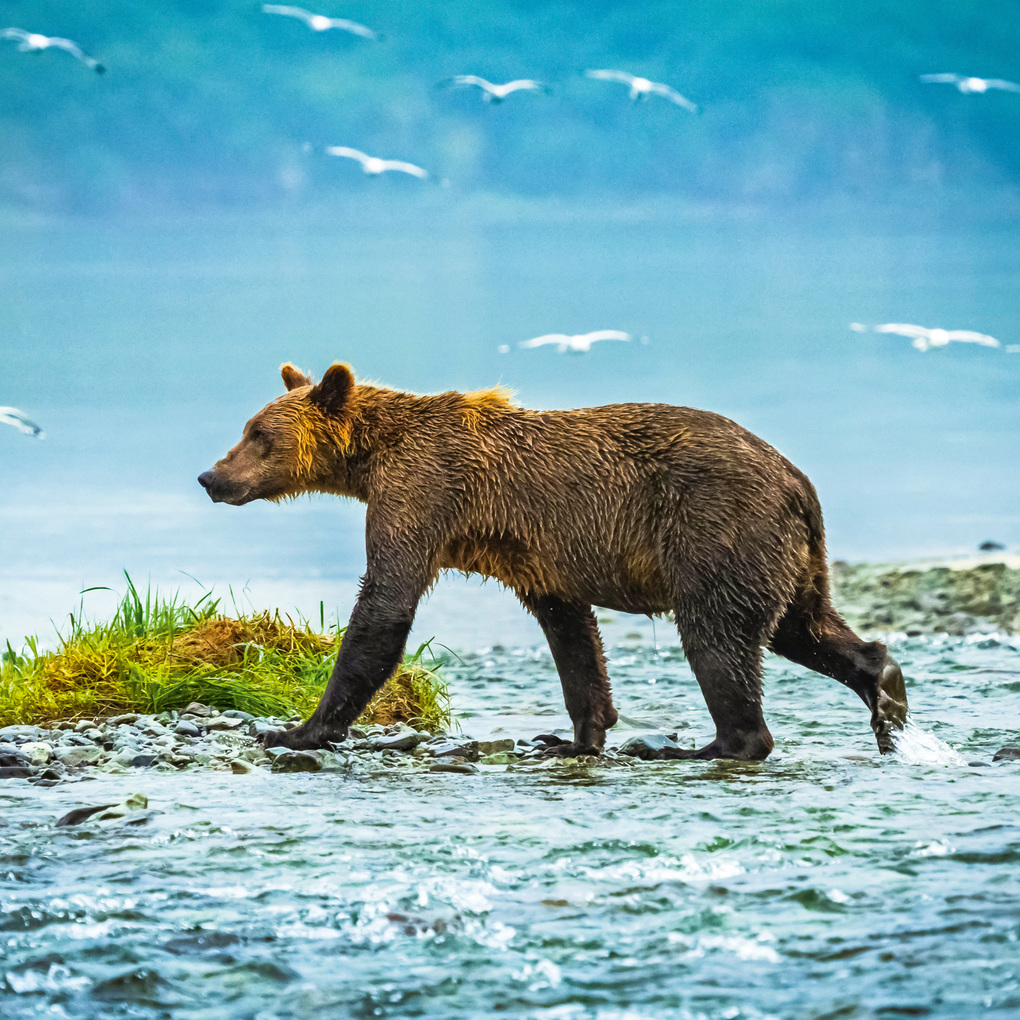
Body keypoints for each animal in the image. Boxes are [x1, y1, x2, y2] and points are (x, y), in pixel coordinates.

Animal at [198, 362, 908, 759]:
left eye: (258, 435)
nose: (210, 476)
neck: (371, 460)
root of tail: (796, 479)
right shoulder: (533, 551)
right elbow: (572, 635)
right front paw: (573, 736)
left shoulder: (424, 491)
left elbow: (385, 603)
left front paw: (297, 730)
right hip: (786, 554)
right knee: (801, 624)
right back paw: (885, 689)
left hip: (716, 528)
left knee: (718, 637)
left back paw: (708, 746)